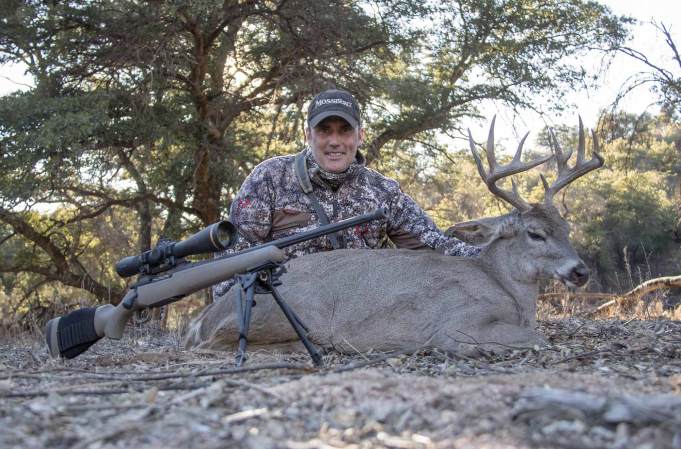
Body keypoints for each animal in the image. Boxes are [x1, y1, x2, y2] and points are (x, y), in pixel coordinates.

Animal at [183, 117, 604, 356]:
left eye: (566, 228)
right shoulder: (456, 323)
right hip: (284, 313)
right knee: (217, 343)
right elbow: (539, 339)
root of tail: (204, 317)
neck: (504, 288)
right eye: (535, 233)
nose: (581, 271)